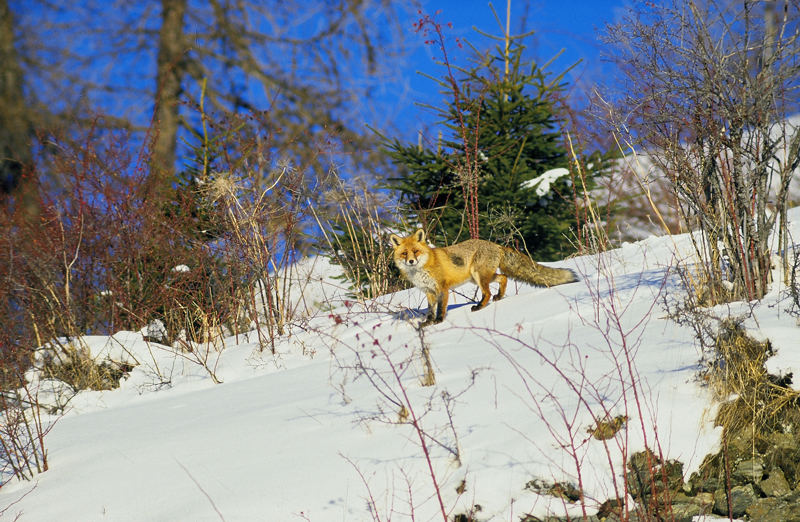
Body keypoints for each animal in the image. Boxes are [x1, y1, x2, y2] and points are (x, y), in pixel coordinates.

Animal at [388, 229, 576, 324]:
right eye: (404, 253)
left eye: (416, 251)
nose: (411, 261)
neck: (422, 269)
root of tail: (496, 245)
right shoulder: (429, 291)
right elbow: (430, 310)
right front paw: (428, 322)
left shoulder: (442, 288)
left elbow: (441, 308)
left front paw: (439, 321)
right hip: (478, 277)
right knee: (503, 277)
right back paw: (499, 296)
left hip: (478, 276)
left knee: (487, 292)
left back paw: (479, 306)